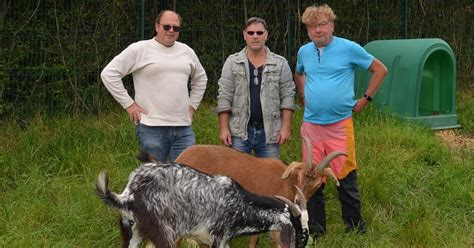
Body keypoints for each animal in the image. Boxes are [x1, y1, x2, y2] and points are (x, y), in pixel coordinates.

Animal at [96, 151, 312, 248]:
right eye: (297, 225)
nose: (304, 242)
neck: (240, 204)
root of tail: (128, 194)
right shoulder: (216, 237)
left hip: (133, 232)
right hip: (165, 233)